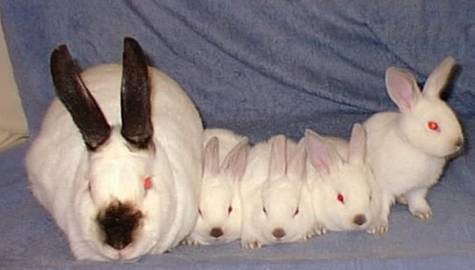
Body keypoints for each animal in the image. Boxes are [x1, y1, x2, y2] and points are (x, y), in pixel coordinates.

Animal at [364, 56, 464, 233]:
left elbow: (417, 200)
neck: (415, 148)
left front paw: (423, 213)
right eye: (433, 125)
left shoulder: (419, 187)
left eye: (452, 115)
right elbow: (382, 206)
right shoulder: (383, 187)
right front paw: (378, 226)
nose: (458, 142)